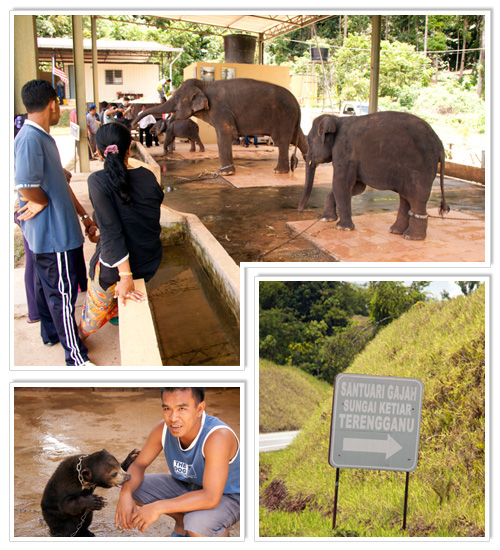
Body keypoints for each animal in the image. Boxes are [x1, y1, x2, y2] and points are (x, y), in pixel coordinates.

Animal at [133, 77, 306, 176]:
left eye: (176, 99)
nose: (134, 124)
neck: (204, 84)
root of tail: (297, 102)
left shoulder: (220, 109)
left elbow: (227, 133)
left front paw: (225, 173)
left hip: (283, 117)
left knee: (282, 140)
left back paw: (279, 171)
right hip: (290, 119)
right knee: (298, 137)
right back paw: (309, 163)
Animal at [296, 112, 450, 242]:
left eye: (309, 142)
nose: (299, 211)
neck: (337, 118)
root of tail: (440, 145)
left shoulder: (343, 151)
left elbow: (341, 184)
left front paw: (343, 228)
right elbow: (357, 187)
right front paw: (327, 219)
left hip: (420, 168)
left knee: (416, 198)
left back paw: (411, 237)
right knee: (406, 198)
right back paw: (396, 231)